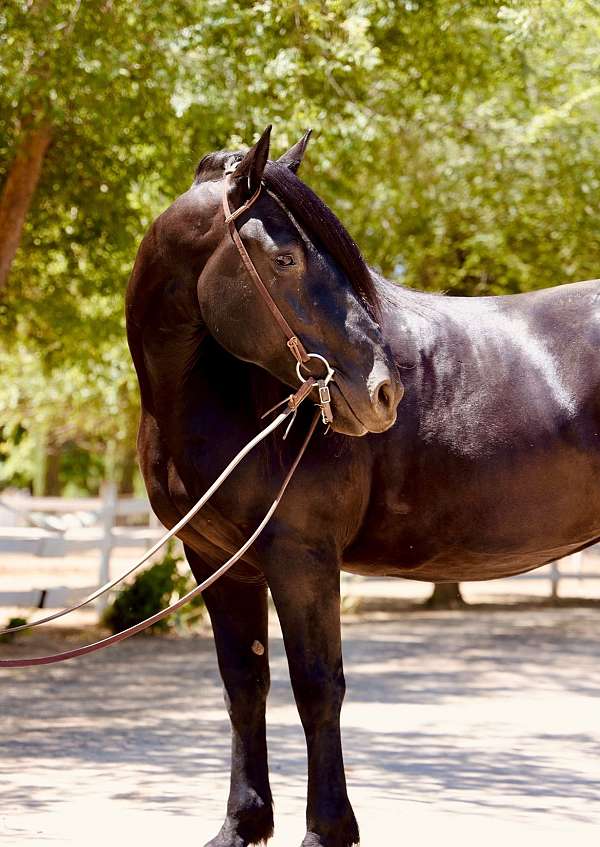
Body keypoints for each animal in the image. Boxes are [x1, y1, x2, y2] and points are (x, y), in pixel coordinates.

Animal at [125, 127, 600, 847]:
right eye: (286, 257)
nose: (384, 392)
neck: (224, 401)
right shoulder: (216, 560)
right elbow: (244, 683)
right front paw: (242, 822)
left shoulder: (302, 557)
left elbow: (318, 686)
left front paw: (327, 828)